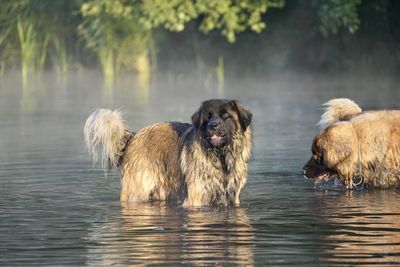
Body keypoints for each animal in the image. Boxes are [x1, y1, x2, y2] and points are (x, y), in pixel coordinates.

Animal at [84, 100, 252, 207]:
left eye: (226, 116)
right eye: (208, 116)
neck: (220, 156)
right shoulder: (195, 196)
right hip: (137, 190)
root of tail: (133, 137)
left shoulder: (233, 197)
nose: (213, 126)